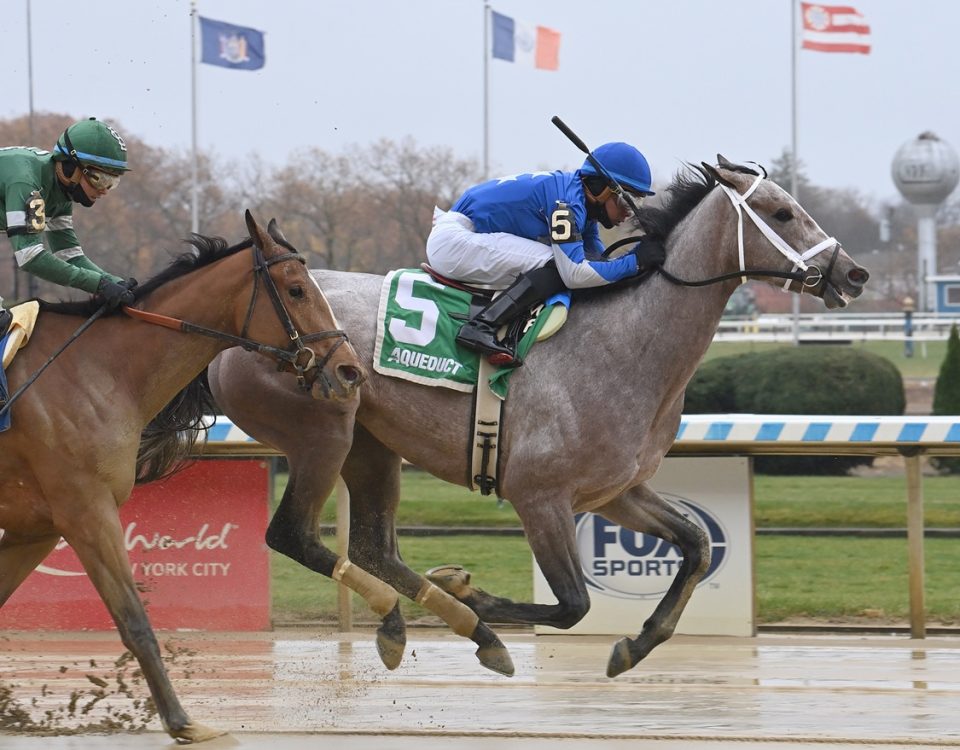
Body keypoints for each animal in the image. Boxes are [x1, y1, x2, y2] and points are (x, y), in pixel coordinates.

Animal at [0, 210, 364, 740]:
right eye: (297, 289)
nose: (350, 370)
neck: (97, 371)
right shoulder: (86, 512)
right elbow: (135, 621)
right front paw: (183, 722)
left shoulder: (36, 527)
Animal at [208, 160, 872, 680]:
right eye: (781, 212)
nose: (853, 272)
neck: (626, 342)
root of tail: (228, 333)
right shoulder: (539, 495)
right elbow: (573, 604)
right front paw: (470, 593)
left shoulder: (614, 491)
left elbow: (697, 545)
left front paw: (635, 645)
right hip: (324, 430)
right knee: (296, 535)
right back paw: (457, 619)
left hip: (371, 446)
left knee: (374, 547)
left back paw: (421, 625)